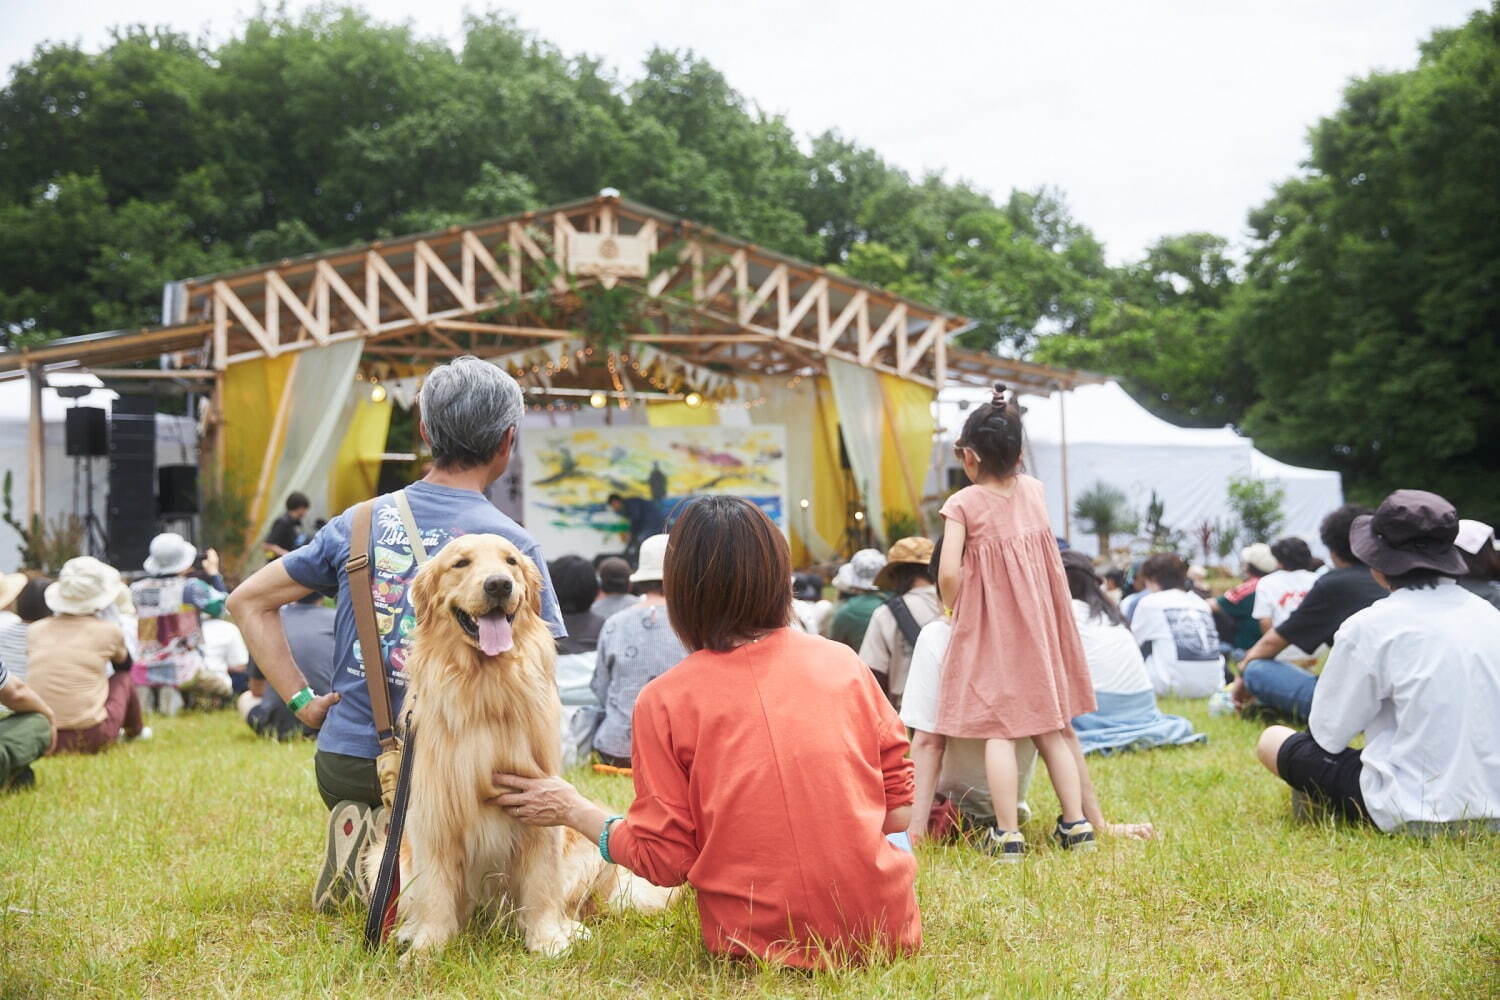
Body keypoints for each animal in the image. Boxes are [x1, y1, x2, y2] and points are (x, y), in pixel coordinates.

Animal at [375, 536, 675, 959]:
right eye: (461, 563)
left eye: (511, 562)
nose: (499, 584)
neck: (486, 690)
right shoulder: (433, 815)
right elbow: (435, 890)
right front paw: (427, 948)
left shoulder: (540, 804)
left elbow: (541, 883)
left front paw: (547, 939)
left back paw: (570, 928)